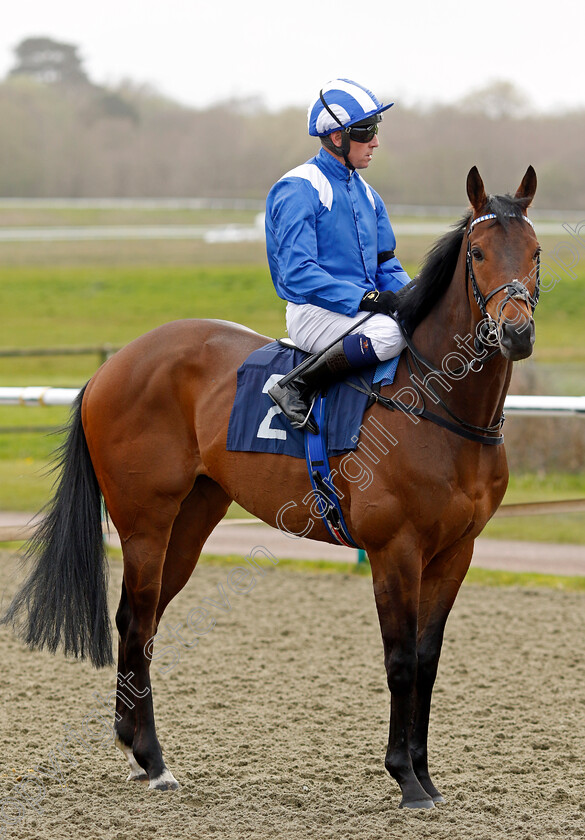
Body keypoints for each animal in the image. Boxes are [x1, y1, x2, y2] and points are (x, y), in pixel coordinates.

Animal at [2, 166, 540, 808]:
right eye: (478, 253)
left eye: (537, 252)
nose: (516, 332)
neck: (435, 404)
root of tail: (115, 363)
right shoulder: (395, 550)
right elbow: (402, 660)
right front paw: (406, 779)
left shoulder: (457, 551)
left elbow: (429, 662)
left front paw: (427, 777)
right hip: (144, 521)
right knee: (135, 620)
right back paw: (154, 759)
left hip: (192, 519)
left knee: (145, 620)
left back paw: (135, 750)